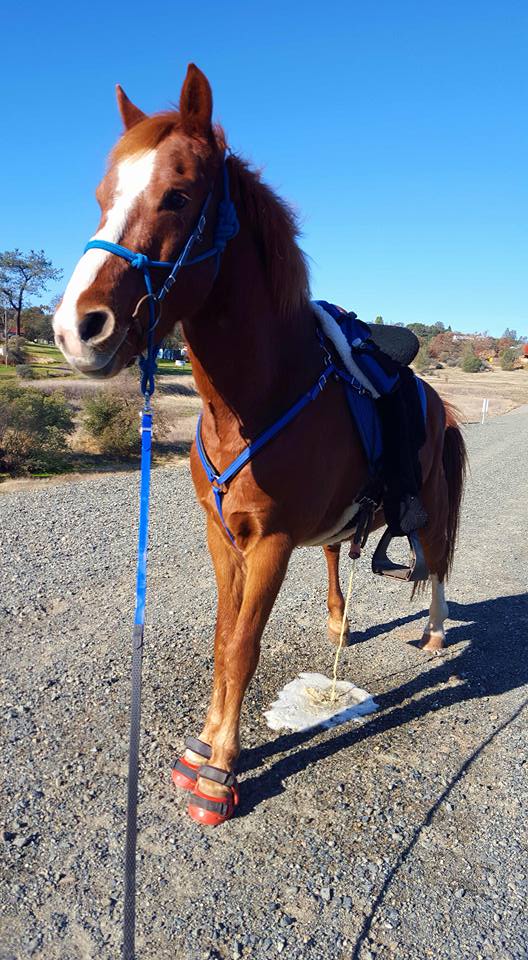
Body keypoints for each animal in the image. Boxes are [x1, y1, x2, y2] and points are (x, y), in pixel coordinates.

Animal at [53, 64, 467, 826]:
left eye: (178, 195)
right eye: (101, 199)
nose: (76, 328)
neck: (258, 397)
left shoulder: (270, 543)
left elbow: (244, 647)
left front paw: (219, 772)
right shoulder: (223, 537)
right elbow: (223, 641)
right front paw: (208, 742)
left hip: (428, 500)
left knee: (439, 558)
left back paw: (434, 631)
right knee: (338, 554)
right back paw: (340, 628)